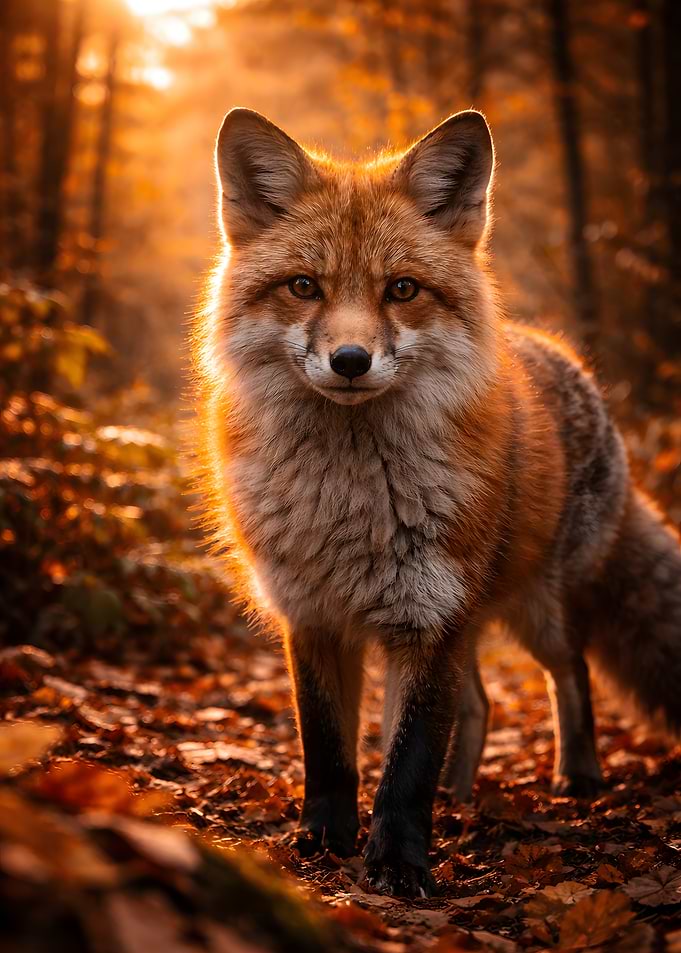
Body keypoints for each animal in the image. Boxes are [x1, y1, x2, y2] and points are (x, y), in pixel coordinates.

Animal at [191, 106, 681, 898]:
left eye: (401, 289)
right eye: (303, 286)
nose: (350, 360)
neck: (348, 501)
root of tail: (563, 359)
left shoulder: (428, 618)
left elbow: (408, 759)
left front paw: (397, 863)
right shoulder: (312, 616)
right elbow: (329, 748)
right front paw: (324, 840)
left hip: (533, 609)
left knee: (571, 671)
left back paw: (576, 777)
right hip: (474, 614)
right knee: (479, 702)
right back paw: (460, 794)